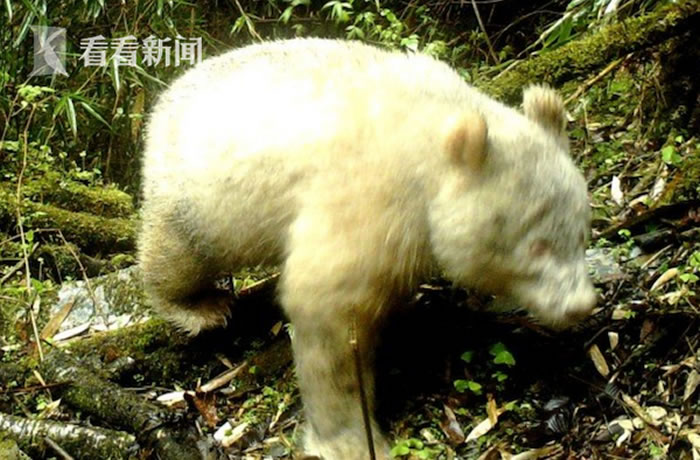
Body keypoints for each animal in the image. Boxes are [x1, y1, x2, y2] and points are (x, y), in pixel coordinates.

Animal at [138, 38, 596, 459]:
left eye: (582, 232)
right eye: (537, 246)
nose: (580, 305)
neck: (432, 136)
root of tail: (165, 98)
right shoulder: (370, 195)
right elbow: (329, 307)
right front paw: (350, 439)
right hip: (197, 192)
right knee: (179, 252)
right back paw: (200, 307)